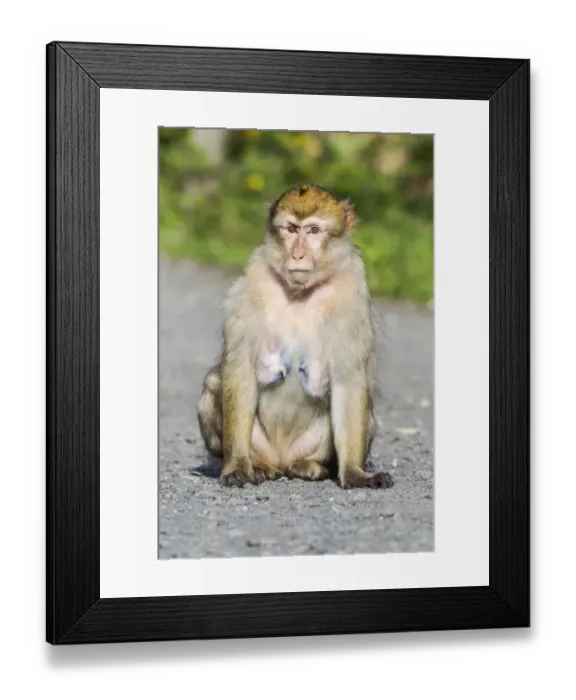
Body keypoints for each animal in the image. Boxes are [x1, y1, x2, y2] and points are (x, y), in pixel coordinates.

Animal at [197, 184, 394, 490]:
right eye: (290, 229)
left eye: (313, 231)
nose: (298, 255)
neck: (301, 292)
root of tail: (281, 458)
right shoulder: (252, 283)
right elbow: (240, 369)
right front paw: (238, 466)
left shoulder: (352, 292)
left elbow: (349, 379)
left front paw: (354, 473)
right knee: (215, 380)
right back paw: (259, 465)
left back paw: (313, 465)